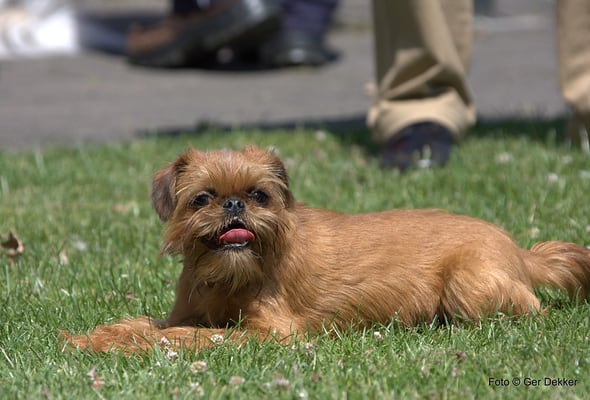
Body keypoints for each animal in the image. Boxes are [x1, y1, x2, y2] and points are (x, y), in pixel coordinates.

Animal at [65, 146, 590, 350]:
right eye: (202, 199)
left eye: (259, 195)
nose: (234, 205)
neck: (226, 277)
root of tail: (521, 252)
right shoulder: (188, 310)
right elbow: (147, 324)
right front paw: (94, 337)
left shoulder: (269, 333)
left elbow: (186, 337)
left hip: (467, 283)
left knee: (530, 309)